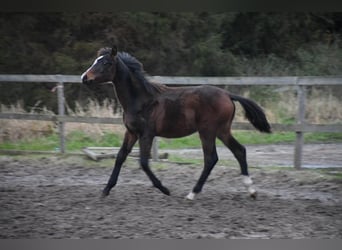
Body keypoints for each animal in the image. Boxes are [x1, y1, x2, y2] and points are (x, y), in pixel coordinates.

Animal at [81, 46, 272, 200]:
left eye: (106, 63)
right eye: (95, 60)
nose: (84, 77)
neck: (141, 99)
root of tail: (227, 95)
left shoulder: (147, 134)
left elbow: (143, 162)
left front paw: (164, 189)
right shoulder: (131, 132)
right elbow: (120, 157)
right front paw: (105, 190)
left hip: (207, 131)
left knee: (211, 158)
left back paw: (192, 193)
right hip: (222, 131)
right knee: (239, 151)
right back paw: (251, 190)